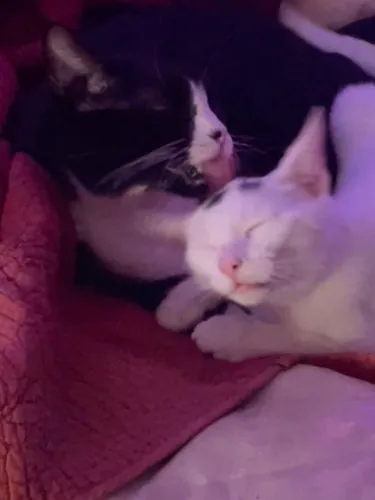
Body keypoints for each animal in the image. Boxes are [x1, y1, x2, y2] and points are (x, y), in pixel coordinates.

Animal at [169, 84, 375, 362]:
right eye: (209, 248)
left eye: (256, 227)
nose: (227, 265)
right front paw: (180, 301)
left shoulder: (357, 333)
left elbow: (296, 338)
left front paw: (227, 334)